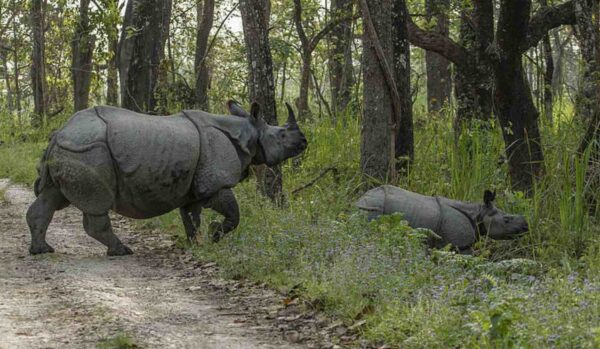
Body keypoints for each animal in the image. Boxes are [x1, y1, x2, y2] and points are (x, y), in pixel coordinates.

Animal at [27, 100, 310, 256]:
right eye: (282, 135)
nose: (304, 141)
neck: (247, 132)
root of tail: (59, 133)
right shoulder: (215, 182)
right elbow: (233, 214)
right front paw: (215, 235)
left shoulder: (193, 187)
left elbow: (191, 217)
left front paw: (196, 244)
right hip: (89, 150)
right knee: (96, 205)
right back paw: (122, 251)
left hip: (70, 149)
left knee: (51, 197)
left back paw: (42, 250)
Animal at [356, 184, 528, 251]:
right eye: (506, 220)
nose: (526, 226)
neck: (479, 212)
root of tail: (359, 199)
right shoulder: (460, 244)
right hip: (373, 209)